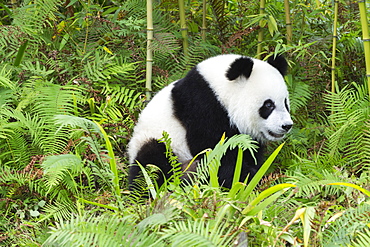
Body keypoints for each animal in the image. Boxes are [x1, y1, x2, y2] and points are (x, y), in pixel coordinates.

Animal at [127, 53, 292, 189]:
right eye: (268, 105)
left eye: (285, 103)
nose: (287, 126)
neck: (220, 90)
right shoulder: (202, 106)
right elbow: (215, 150)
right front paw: (245, 179)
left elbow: (249, 151)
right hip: (157, 141)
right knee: (152, 161)